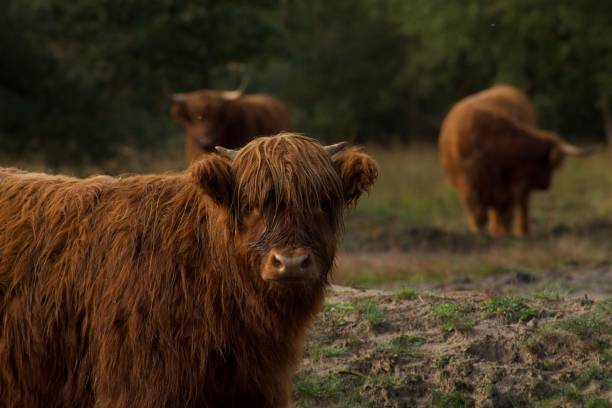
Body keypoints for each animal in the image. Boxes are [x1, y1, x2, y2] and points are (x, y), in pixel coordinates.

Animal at [440, 87, 592, 239]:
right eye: (549, 165)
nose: (547, 185)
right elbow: (483, 211)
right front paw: (481, 232)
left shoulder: (509, 186)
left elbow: (505, 210)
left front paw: (501, 232)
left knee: (520, 205)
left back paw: (520, 231)